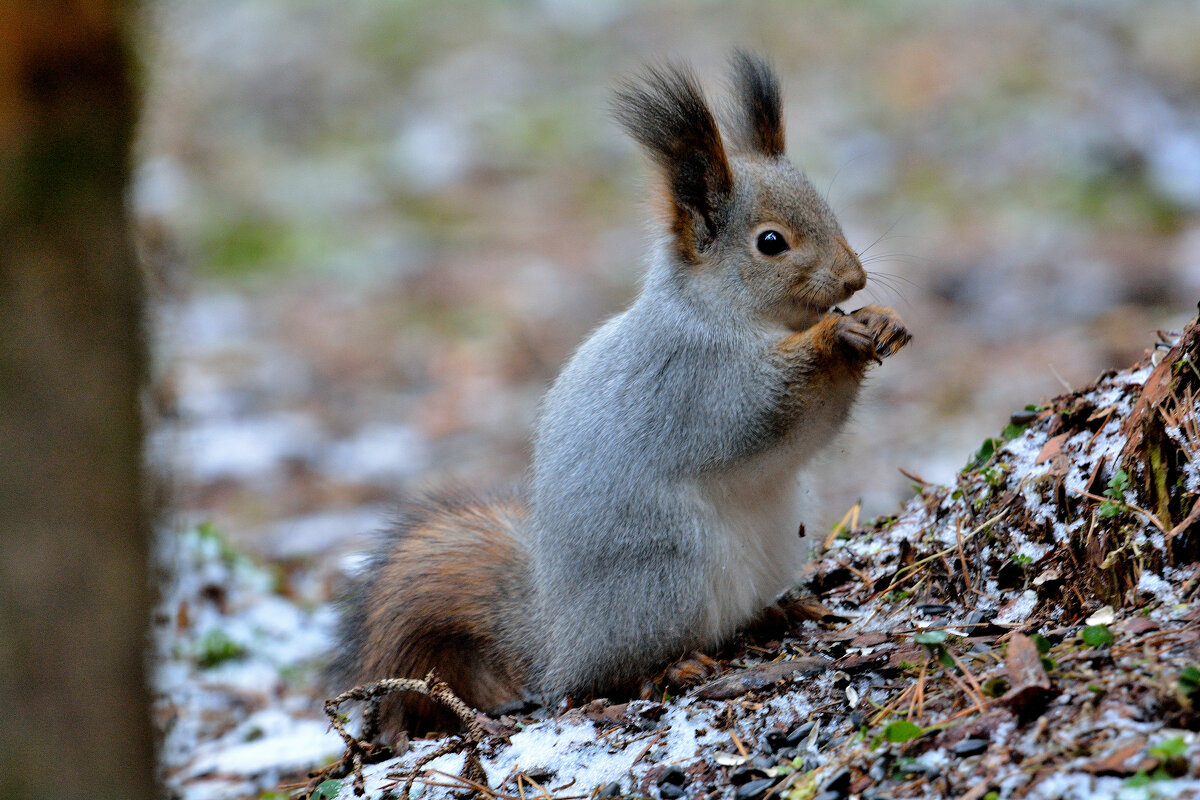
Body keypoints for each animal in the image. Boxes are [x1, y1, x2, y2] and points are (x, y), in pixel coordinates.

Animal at [328, 51, 907, 738]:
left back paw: (777, 614)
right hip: (663, 575)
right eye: (771, 242)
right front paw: (835, 334)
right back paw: (674, 667)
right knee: (613, 674)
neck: (731, 313)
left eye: (826, 206)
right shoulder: (696, 380)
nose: (854, 278)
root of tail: (558, 642)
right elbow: (762, 410)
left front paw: (880, 321)